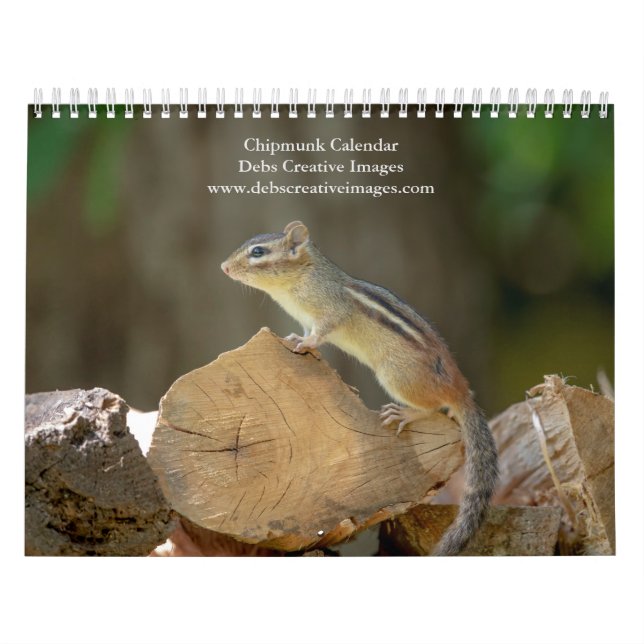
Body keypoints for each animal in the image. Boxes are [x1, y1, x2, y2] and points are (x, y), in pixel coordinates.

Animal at [221, 220, 498, 555]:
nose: (223, 267)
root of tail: (460, 389)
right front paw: (296, 340)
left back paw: (406, 414)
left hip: (394, 374)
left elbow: (321, 332)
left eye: (258, 252)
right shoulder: (305, 318)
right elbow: (305, 331)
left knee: (434, 408)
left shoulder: (330, 311)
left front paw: (307, 344)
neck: (303, 276)